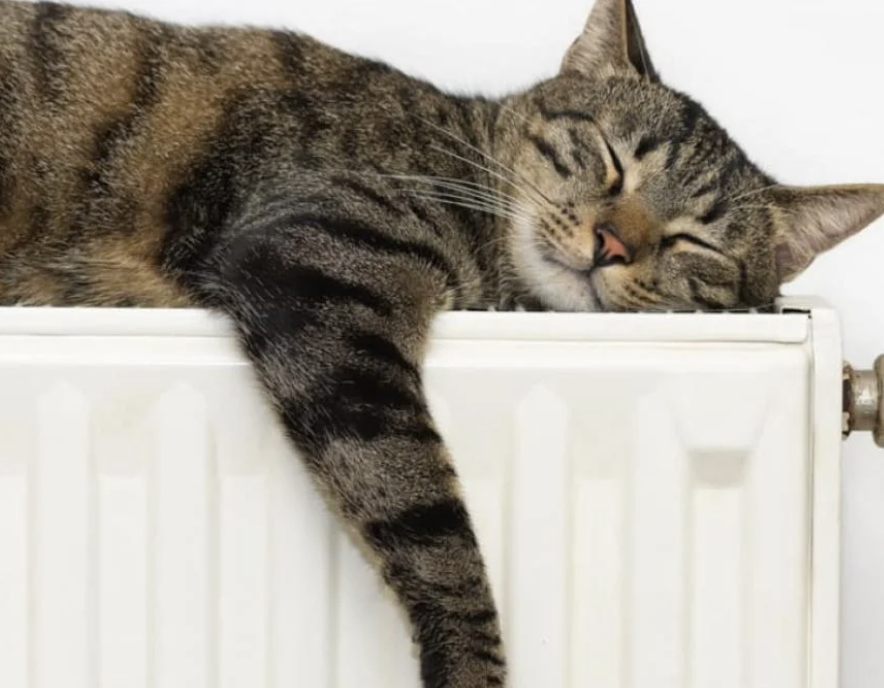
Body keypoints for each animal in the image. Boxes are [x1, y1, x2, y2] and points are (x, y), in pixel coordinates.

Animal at [0, 0, 881, 685]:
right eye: (610, 160)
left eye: (694, 240)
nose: (612, 244)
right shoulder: (322, 266)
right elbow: (432, 524)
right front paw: (471, 664)